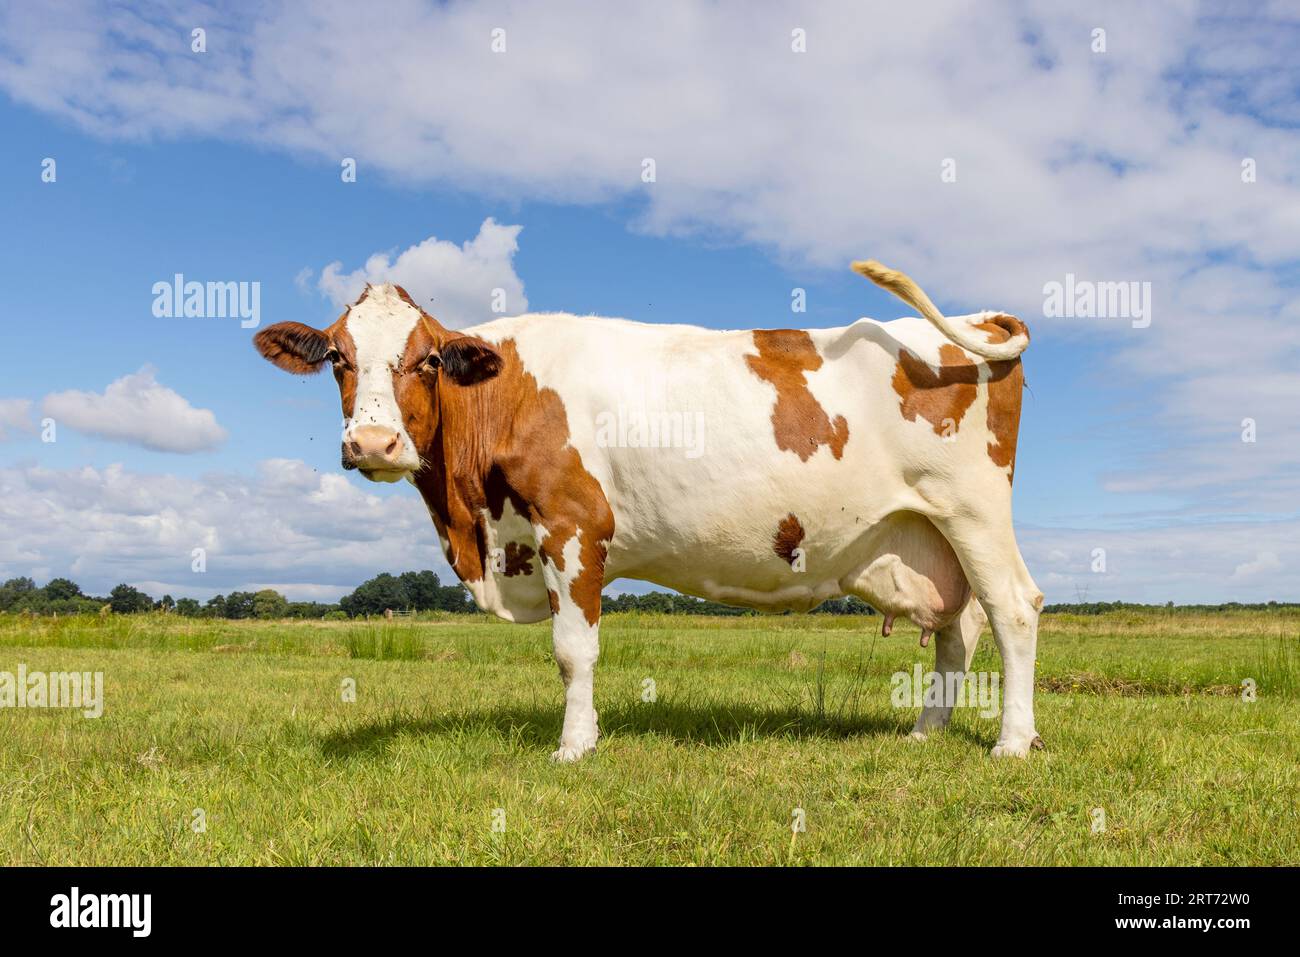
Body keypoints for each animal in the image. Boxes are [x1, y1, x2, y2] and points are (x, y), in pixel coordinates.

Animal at [253, 261, 1045, 764]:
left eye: (425, 360)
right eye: (337, 358)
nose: (373, 443)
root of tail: (972, 321)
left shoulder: (572, 526)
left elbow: (573, 650)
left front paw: (573, 746)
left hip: (972, 509)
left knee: (1013, 608)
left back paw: (1011, 742)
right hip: (931, 532)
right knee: (958, 628)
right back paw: (925, 731)